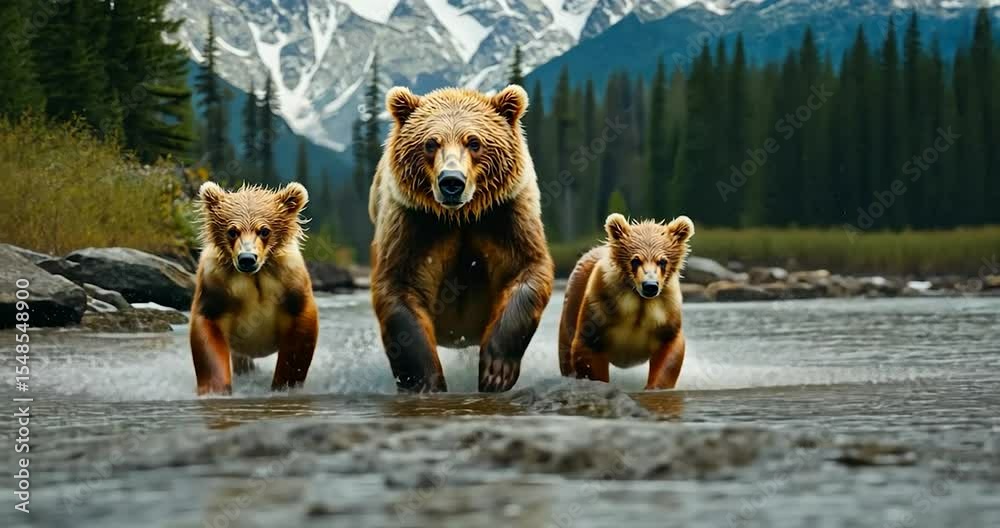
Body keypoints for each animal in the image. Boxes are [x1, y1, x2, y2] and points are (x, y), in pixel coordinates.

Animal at [189, 181, 318, 395]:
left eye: (264, 230)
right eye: (232, 231)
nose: (247, 258)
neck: (255, 277)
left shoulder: (290, 284)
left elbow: (298, 341)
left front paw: (282, 386)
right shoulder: (216, 286)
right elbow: (208, 335)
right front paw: (216, 389)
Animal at [368, 84, 554, 393]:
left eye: (474, 142)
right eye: (431, 143)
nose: (451, 181)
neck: (460, 216)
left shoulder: (505, 216)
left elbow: (525, 271)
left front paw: (496, 372)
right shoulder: (412, 223)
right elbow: (400, 289)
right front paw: (426, 383)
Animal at [558, 213, 694, 390]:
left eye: (662, 261)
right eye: (635, 260)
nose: (650, 286)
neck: (638, 303)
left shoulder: (666, 313)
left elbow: (670, 352)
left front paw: (653, 387)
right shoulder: (599, 306)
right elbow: (587, 348)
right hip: (573, 300)